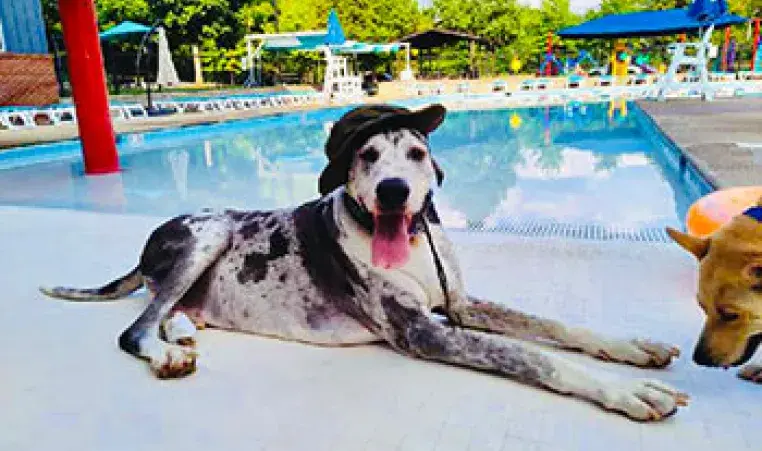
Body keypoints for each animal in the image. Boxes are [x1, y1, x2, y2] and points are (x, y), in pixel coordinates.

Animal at [41, 104, 688, 422]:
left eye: (417, 153)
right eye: (367, 154)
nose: (395, 190)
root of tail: (147, 244)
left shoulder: (459, 305)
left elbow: (553, 326)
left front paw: (633, 348)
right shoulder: (425, 331)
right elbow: (534, 356)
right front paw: (628, 392)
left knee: (166, 312)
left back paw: (179, 336)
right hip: (210, 230)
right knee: (134, 329)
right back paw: (164, 353)